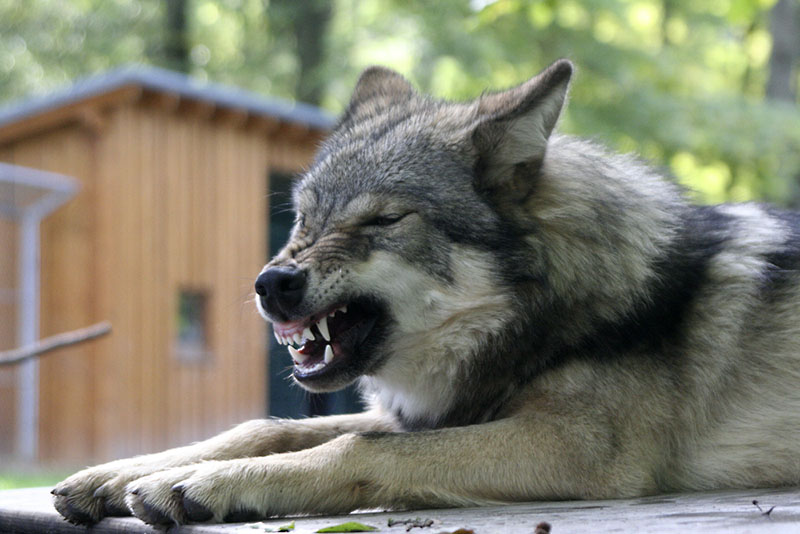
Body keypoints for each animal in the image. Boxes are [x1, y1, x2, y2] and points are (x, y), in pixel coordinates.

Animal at [51, 60, 800, 528]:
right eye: (303, 220)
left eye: (383, 220)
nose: (270, 283)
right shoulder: (433, 415)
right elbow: (266, 429)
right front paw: (116, 476)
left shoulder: (576, 446)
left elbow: (357, 449)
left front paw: (199, 486)